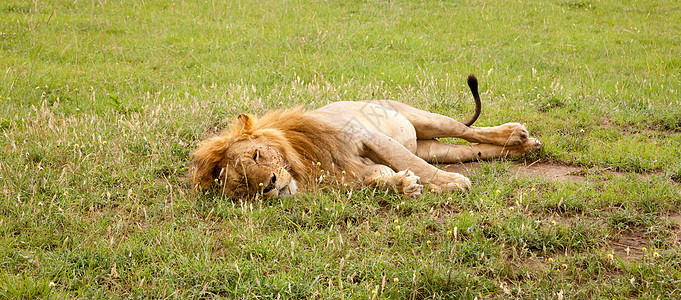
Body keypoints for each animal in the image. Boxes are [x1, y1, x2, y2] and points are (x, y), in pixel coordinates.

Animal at [191, 74, 540, 199]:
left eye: (256, 155)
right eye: (241, 185)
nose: (269, 185)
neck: (303, 162)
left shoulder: (368, 136)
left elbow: (408, 162)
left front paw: (453, 182)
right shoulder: (353, 172)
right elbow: (380, 176)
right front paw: (404, 184)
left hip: (422, 119)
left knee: (466, 130)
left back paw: (517, 134)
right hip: (432, 147)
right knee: (472, 150)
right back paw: (520, 148)